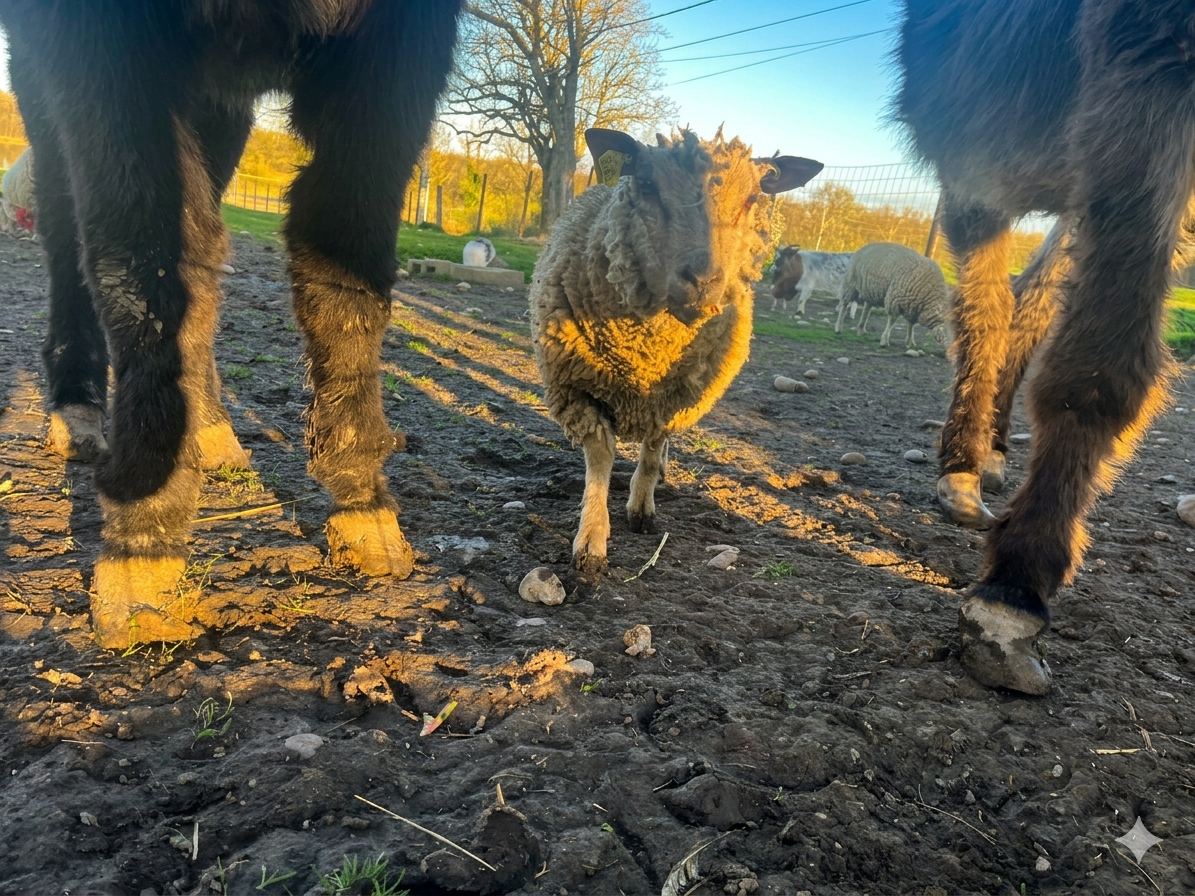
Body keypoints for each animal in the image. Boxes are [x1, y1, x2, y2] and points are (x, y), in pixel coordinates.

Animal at [2, 1, 463, 648]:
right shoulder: (98, 41)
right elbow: (141, 253)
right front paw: (144, 542)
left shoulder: (402, 44)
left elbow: (346, 256)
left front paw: (361, 497)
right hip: (43, 77)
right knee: (67, 226)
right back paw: (78, 408)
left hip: (218, 104)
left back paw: (210, 425)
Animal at [530, 127, 822, 575]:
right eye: (648, 185)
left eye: (752, 198)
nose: (703, 280)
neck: (645, 356)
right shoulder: (577, 389)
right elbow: (600, 459)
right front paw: (592, 539)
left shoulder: (675, 399)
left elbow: (652, 451)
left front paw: (641, 508)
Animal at [895, 0, 1195, 694]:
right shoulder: (1150, 52)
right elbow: (1099, 364)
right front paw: (1015, 587)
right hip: (979, 162)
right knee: (987, 308)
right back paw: (963, 464)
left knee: (1030, 299)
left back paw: (994, 449)